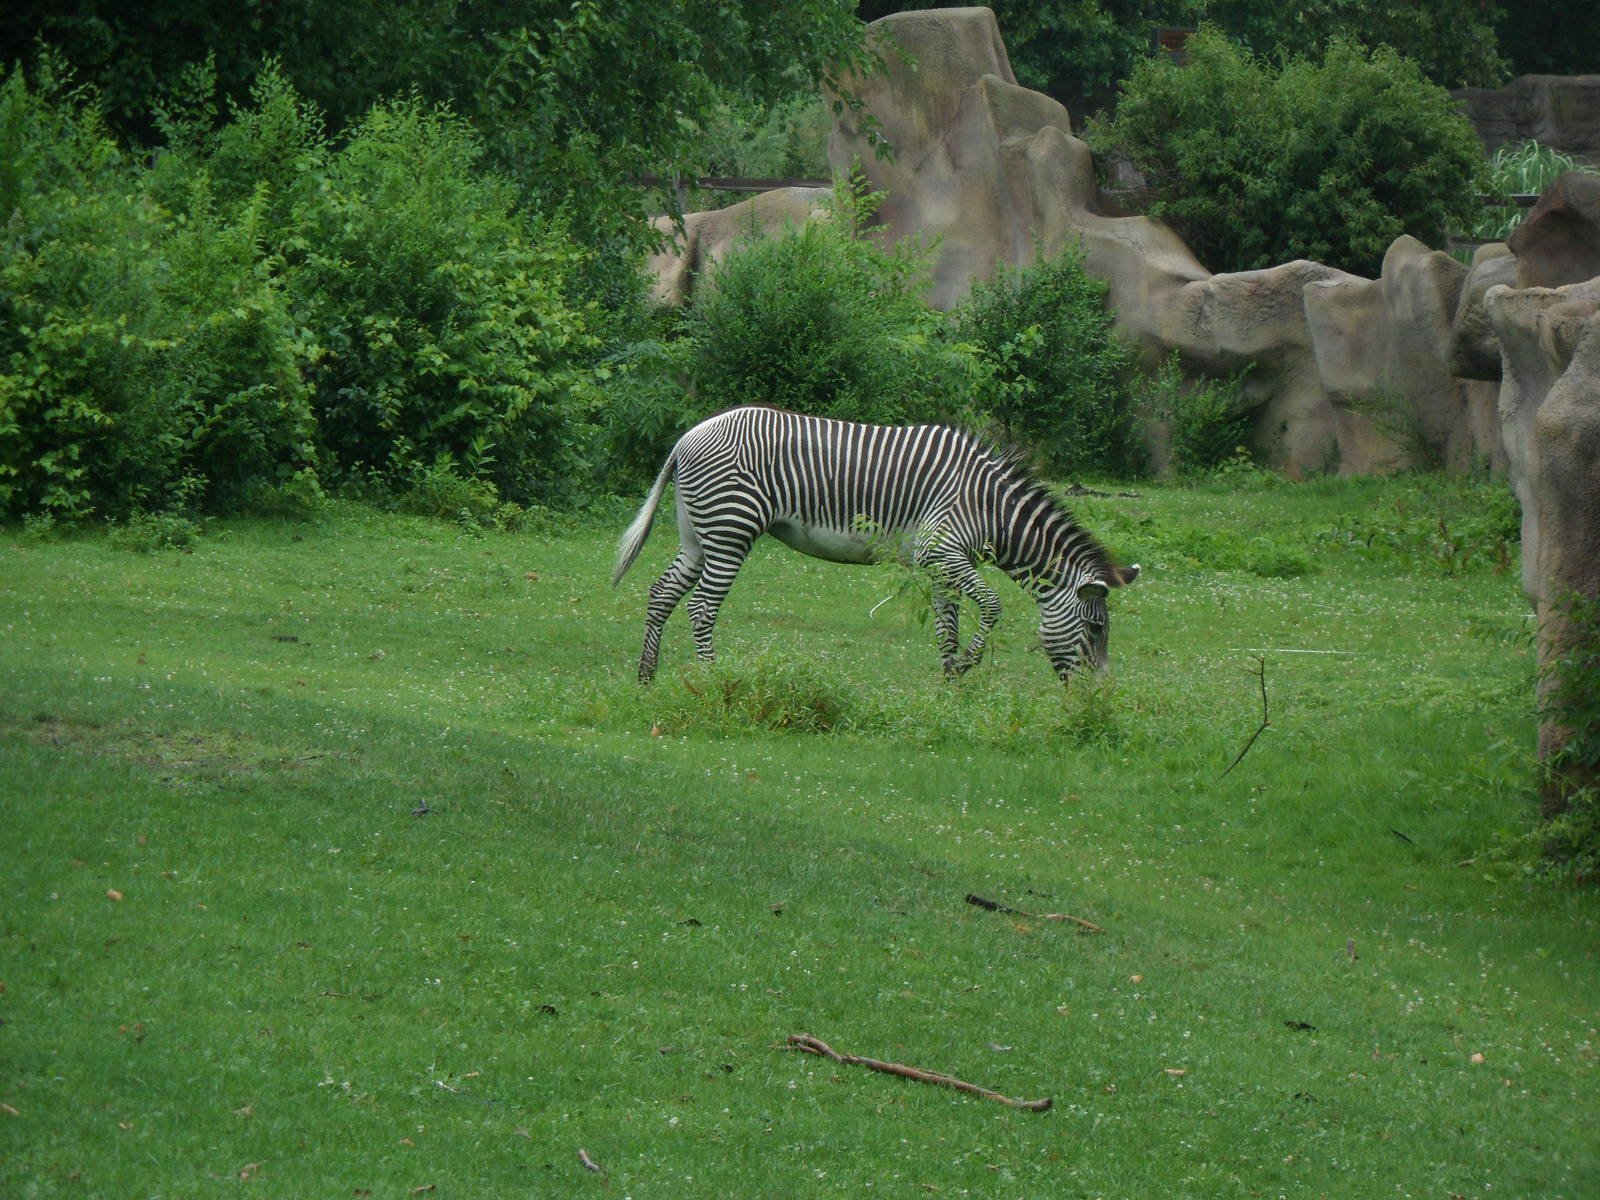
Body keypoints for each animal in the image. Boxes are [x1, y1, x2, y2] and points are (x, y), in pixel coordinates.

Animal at [612, 407, 1139, 685]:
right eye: (1096, 630)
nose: (1095, 698)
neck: (990, 507)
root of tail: (686, 438)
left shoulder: (942, 563)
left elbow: (947, 625)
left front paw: (949, 684)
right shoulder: (942, 550)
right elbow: (991, 605)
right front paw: (966, 667)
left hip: (698, 534)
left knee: (662, 593)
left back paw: (646, 676)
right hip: (730, 530)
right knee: (701, 607)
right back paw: (713, 678)